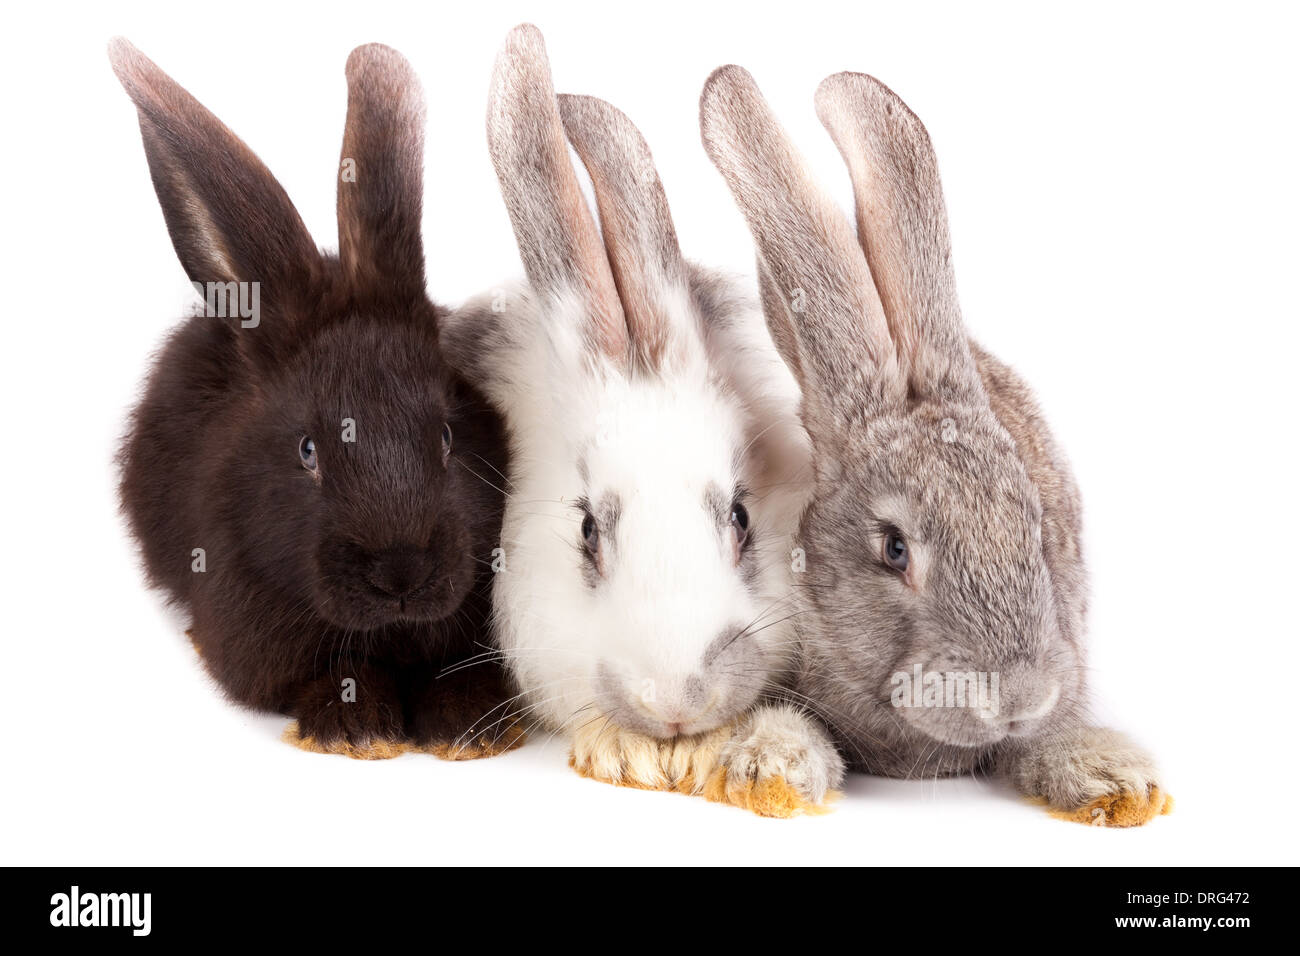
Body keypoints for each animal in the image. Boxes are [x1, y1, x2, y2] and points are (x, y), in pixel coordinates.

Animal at [110, 39, 517, 764]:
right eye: (307, 452)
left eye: (447, 436)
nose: (401, 575)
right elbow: (334, 674)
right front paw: (356, 730)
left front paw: (469, 725)